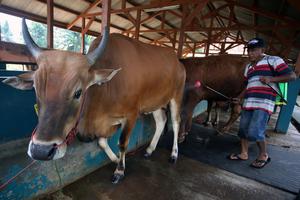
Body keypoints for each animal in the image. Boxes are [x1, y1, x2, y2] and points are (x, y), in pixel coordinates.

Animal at [2, 19, 185, 184]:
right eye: (36, 89)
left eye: (78, 92)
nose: (40, 150)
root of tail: (178, 62)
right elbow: (102, 142)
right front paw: (115, 159)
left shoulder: (131, 115)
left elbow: (122, 143)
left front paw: (119, 171)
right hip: (156, 102)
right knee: (161, 121)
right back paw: (149, 149)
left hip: (176, 97)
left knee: (176, 123)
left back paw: (174, 154)